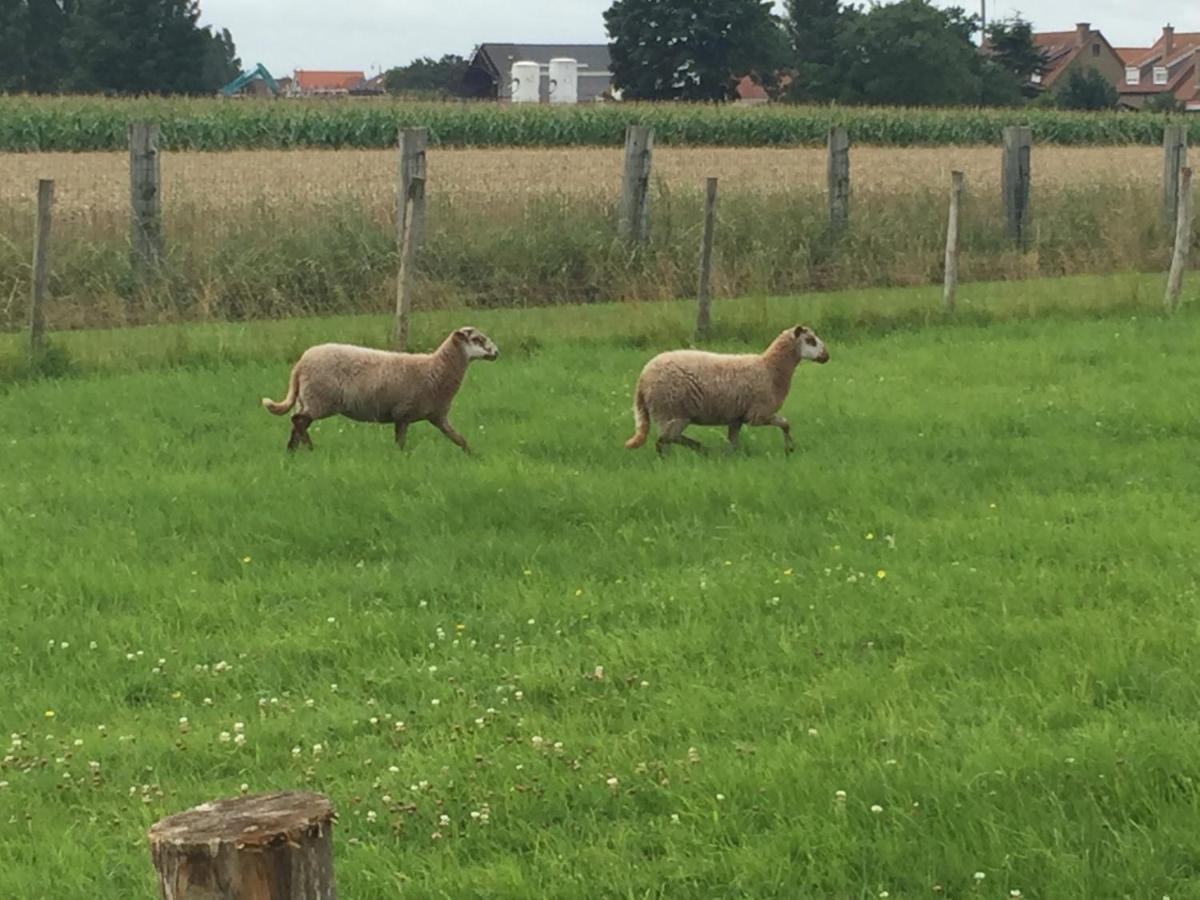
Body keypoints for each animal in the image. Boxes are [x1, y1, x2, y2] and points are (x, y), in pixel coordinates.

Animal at [265, 326, 499, 453]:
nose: (496, 352)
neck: (435, 368)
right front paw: (401, 459)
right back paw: (310, 449)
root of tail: (300, 364)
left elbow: (459, 439)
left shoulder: (437, 416)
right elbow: (401, 443)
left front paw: (473, 455)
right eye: (477, 339)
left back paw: (292, 453)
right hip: (319, 399)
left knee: (296, 424)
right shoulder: (403, 413)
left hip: (305, 399)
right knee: (298, 421)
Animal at [624, 321, 830, 453]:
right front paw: (790, 448)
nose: (826, 356)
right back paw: (698, 449)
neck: (770, 370)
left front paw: (733, 457)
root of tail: (642, 380)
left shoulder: (737, 417)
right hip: (673, 412)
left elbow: (733, 442)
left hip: (668, 413)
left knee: (666, 441)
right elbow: (786, 424)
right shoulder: (758, 414)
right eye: (811, 340)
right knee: (665, 440)